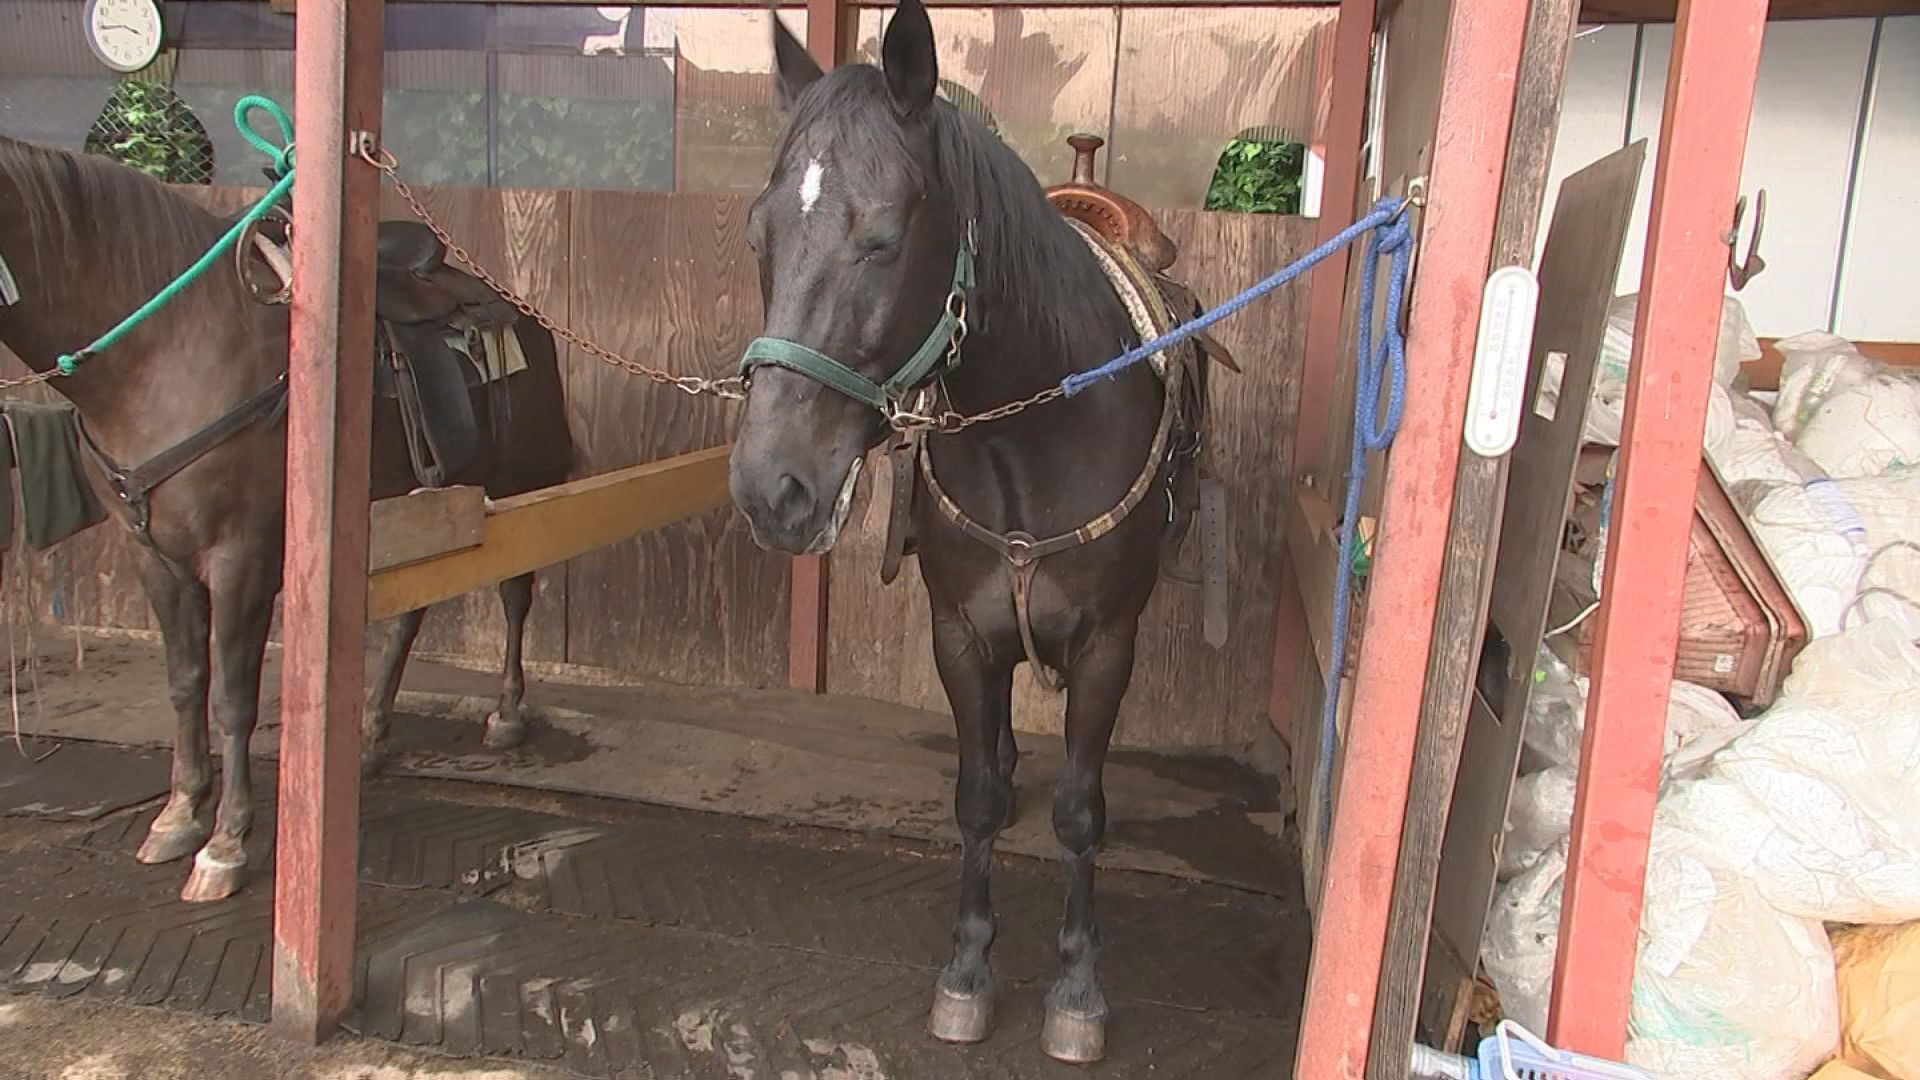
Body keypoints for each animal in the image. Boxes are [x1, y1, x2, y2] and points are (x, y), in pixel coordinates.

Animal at [0, 134, 568, 899]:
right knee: (409, 614)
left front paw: (226, 845)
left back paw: (505, 714)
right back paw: (370, 732)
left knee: (514, 593)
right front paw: (179, 814)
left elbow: (234, 698)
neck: (165, 354)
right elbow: (186, 683)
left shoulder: (240, 555)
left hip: (520, 480)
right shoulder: (151, 554)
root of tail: (517, 310)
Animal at [725, 0, 1221, 1060]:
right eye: (759, 234)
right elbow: (977, 797)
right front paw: (966, 970)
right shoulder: (959, 633)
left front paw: (1076, 990)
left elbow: (1081, 811)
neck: (1034, 432)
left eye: (881, 237)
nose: (769, 487)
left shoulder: (1108, 645)